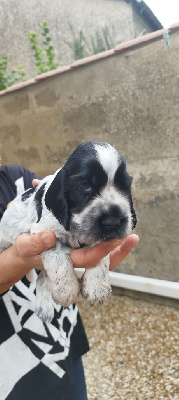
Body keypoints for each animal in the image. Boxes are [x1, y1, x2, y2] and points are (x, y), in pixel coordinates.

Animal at [0, 142, 136, 320]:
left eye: (124, 186)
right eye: (85, 186)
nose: (113, 222)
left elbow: (100, 256)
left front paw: (97, 287)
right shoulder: (45, 233)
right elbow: (59, 260)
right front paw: (67, 290)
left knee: (42, 277)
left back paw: (44, 306)